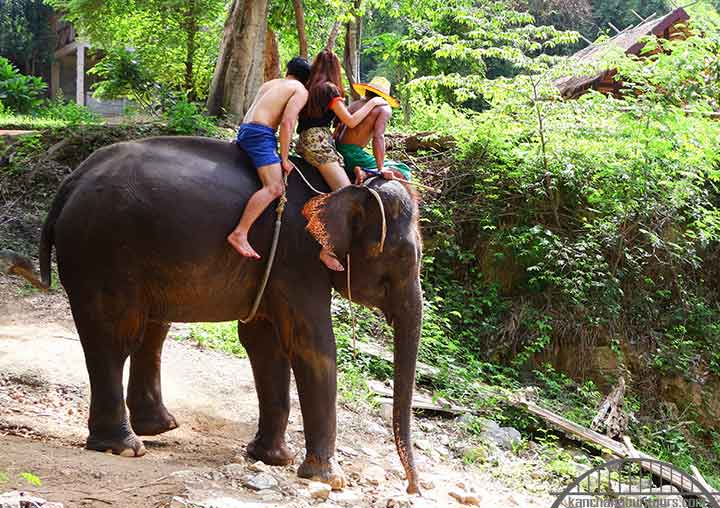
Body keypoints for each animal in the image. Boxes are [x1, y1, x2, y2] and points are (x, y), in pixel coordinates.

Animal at [1, 135, 422, 492]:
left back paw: (158, 427)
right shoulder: (298, 260)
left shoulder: (273, 268)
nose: (412, 488)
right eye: (404, 256)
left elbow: (264, 343)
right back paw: (124, 446)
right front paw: (328, 479)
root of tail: (70, 183)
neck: (344, 185)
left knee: (150, 330)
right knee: (115, 338)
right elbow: (312, 345)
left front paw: (273, 459)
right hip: (102, 253)